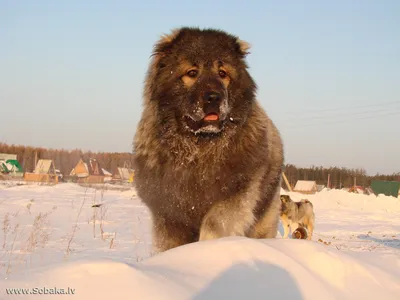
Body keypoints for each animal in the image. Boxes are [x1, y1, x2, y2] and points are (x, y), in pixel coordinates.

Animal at [133, 27, 282, 253]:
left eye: (223, 74)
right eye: (192, 73)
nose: (214, 97)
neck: (199, 149)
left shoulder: (234, 197)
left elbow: (213, 223)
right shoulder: (169, 214)